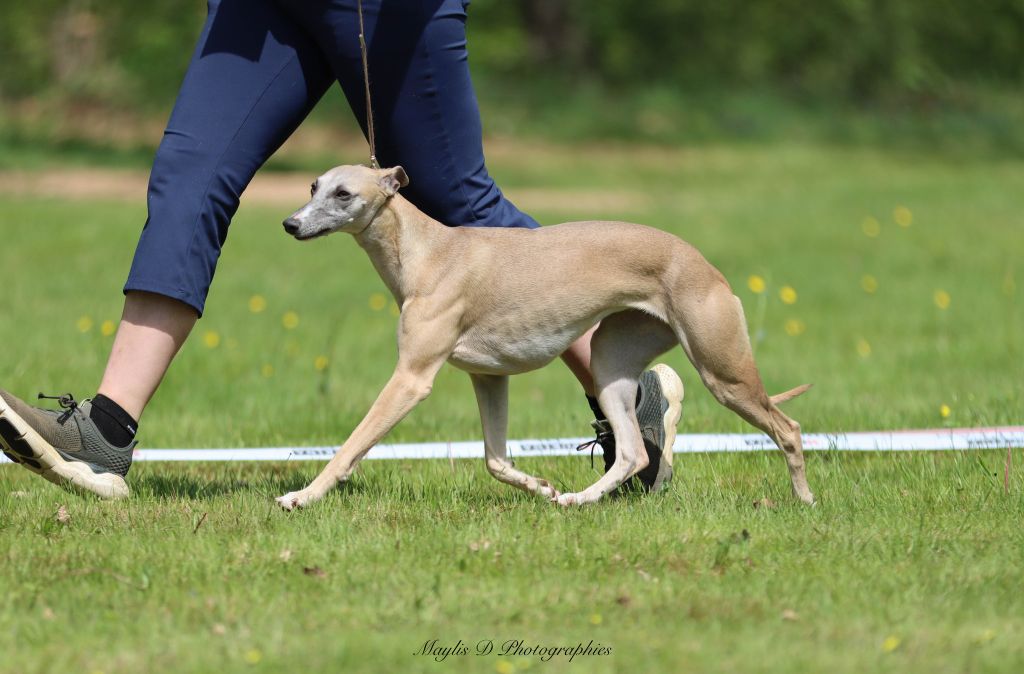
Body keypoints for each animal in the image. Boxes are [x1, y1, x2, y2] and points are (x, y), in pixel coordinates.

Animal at [274, 163, 815, 510]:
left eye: (343, 194)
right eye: (313, 186)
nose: (290, 224)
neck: (426, 251)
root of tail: (707, 266)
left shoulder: (411, 377)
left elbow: (350, 446)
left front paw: (302, 496)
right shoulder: (488, 378)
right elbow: (495, 460)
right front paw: (541, 487)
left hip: (723, 368)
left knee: (787, 428)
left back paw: (804, 500)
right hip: (611, 358)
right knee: (634, 450)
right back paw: (578, 499)